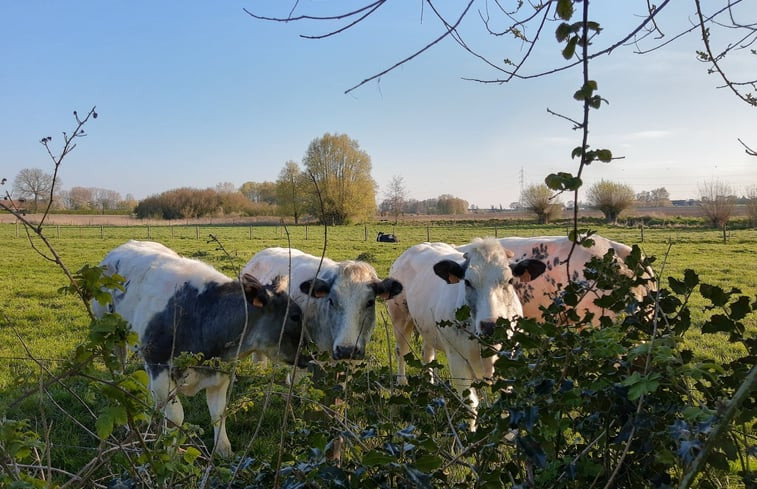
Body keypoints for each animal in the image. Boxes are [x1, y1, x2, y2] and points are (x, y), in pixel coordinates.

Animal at [93, 238, 306, 456]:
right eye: (295, 316)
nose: (308, 356)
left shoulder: (220, 374)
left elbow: (218, 413)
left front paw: (224, 451)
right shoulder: (158, 367)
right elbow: (175, 417)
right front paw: (171, 451)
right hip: (110, 337)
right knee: (118, 372)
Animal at [384, 238, 544, 422]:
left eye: (510, 281)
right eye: (467, 282)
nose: (490, 326)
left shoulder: (508, 359)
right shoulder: (457, 360)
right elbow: (470, 405)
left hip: (426, 325)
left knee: (428, 353)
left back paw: (430, 384)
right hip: (400, 318)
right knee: (401, 351)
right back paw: (401, 383)